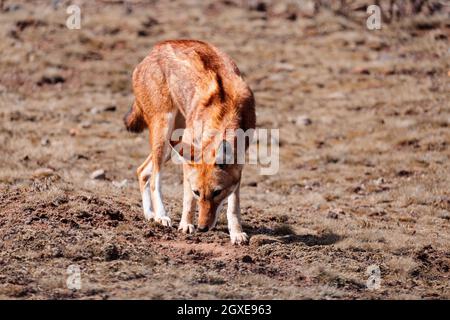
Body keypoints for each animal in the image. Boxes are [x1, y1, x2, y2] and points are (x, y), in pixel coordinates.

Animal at [125, 40, 255, 245]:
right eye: (197, 192)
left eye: (217, 192)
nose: (202, 228)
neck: (225, 110)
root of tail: (155, 49)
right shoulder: (189, 157)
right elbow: (187, 200)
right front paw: (186, 224)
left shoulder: (239, 164)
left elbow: (233, 206)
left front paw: (236, 233)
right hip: (165, 135)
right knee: (154, 179)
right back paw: (161, 216)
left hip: (172, 144)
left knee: (142, 171)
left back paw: (149, 215)